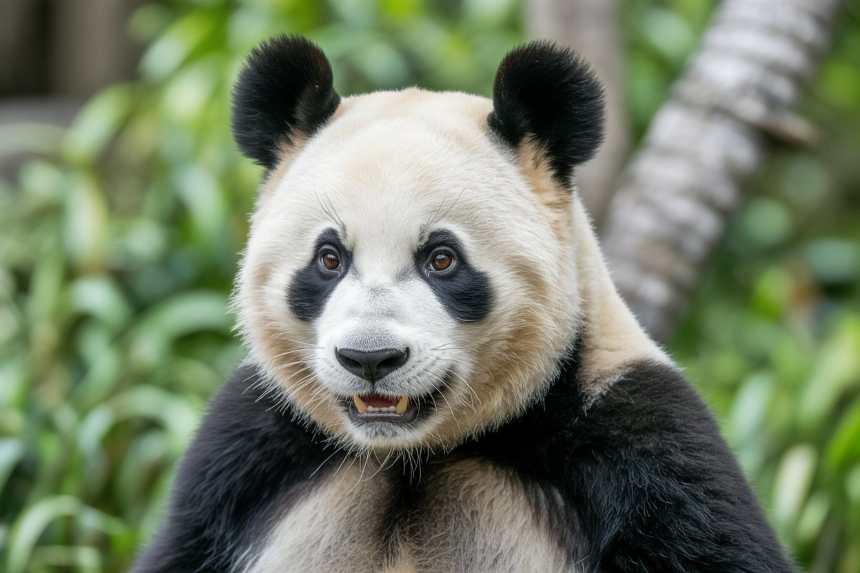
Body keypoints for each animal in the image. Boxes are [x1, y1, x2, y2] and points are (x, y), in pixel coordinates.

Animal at [132, 36, 794, 573]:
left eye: (442, 260)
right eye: (329, 259)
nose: (370, 359)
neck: (410, 457)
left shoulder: (642, 448)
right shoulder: (246, 456)